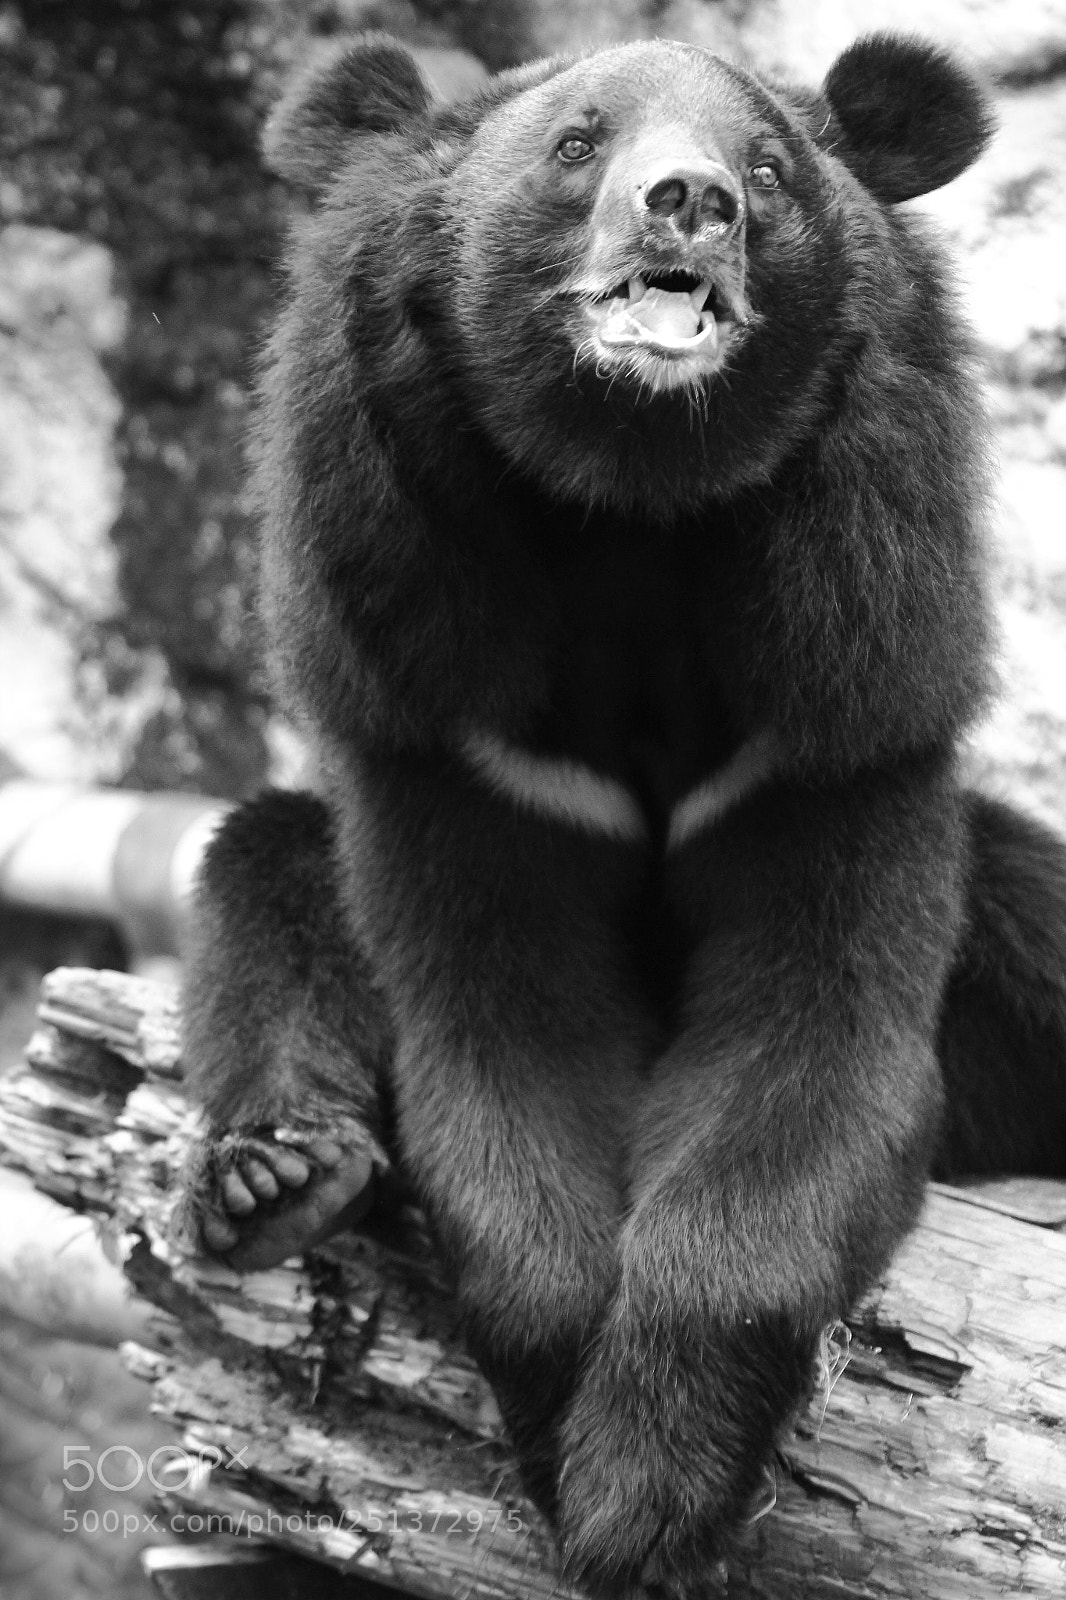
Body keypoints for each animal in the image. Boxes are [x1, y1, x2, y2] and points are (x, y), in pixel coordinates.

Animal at [177, 31, 1066, 1597]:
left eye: (767, 166)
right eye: (575, 144)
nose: (689, 201)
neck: (632, 502)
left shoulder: (841, 694)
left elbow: (812, 1052)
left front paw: (644, 1495)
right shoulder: (448, 704)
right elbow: (500, 1048)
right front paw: (573, 1464)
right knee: (263, 864)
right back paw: (276, 1177)